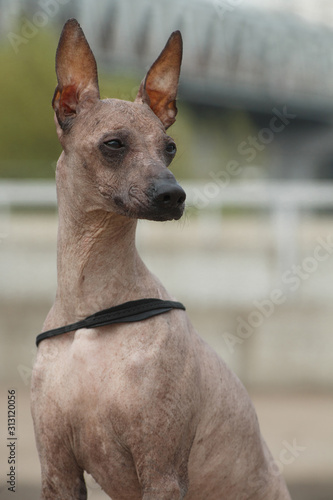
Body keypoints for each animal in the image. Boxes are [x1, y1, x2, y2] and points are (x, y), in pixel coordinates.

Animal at [31, 19, 290, 500]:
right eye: (114, 143)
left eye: (169, 147)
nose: (174, 195)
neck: (91, 307)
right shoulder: (58, 472)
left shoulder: (162, 470)